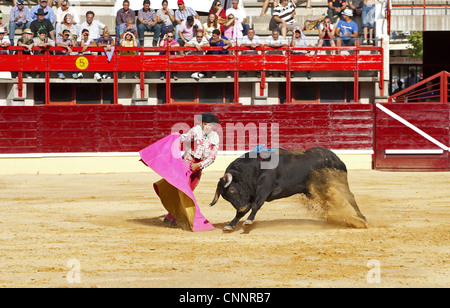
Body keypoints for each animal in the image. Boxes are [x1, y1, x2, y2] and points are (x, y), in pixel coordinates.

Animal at [209, 147, 368, 231]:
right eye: (226, 198)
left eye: (232, 190)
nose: (240, 207)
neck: (253, 169)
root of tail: (336, 158)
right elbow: (244, 211)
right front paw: (230, 224)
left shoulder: (264, 189)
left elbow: (255, 205)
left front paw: (248, 221)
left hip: (340, 183)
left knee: (350, 197)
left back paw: (363, 219)